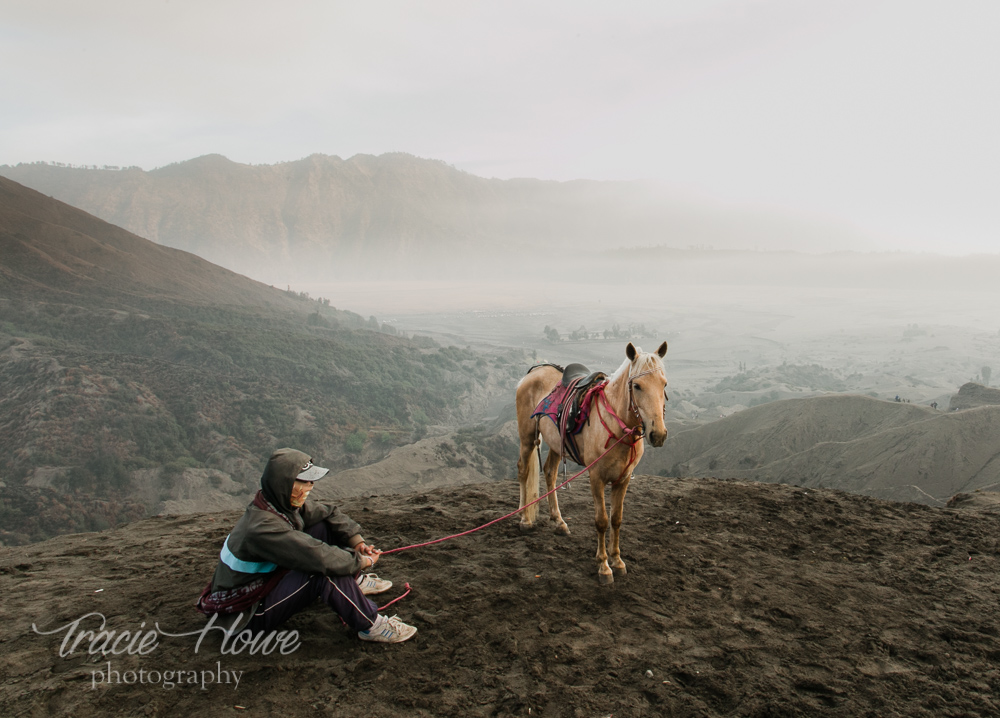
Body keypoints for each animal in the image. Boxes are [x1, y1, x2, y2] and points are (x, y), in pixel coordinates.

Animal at [516, 342, 664, 584]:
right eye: (637, 386)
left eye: (664, 384)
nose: (658, 434)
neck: (617, 426)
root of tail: (536, 371)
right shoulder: (596, 478)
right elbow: (602, 521)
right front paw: (603, 566)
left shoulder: (623, 480)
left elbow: (616, 519)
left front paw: (617, 560)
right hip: (527, 437)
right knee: (523, 470)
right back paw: (524, 519)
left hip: (557, 443)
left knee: (549, 472)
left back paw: (559, 521)